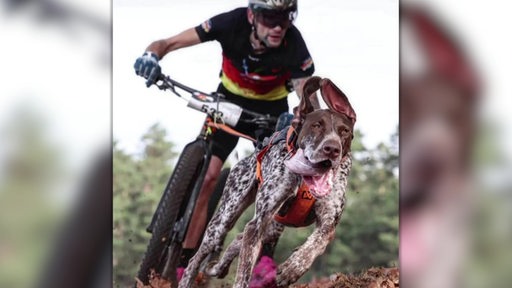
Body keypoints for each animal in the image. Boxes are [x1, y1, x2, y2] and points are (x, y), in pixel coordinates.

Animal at [179, 76, 356, 288]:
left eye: (344, 131)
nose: (332, 149)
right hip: (222, 222)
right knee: (196, 258)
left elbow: (316, 243)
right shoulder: (258, 223)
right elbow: (243, 272)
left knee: (238, 239)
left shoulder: (328, 223)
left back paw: (219, 267)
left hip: (271, 228)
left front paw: (292, 269)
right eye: (316, 125)